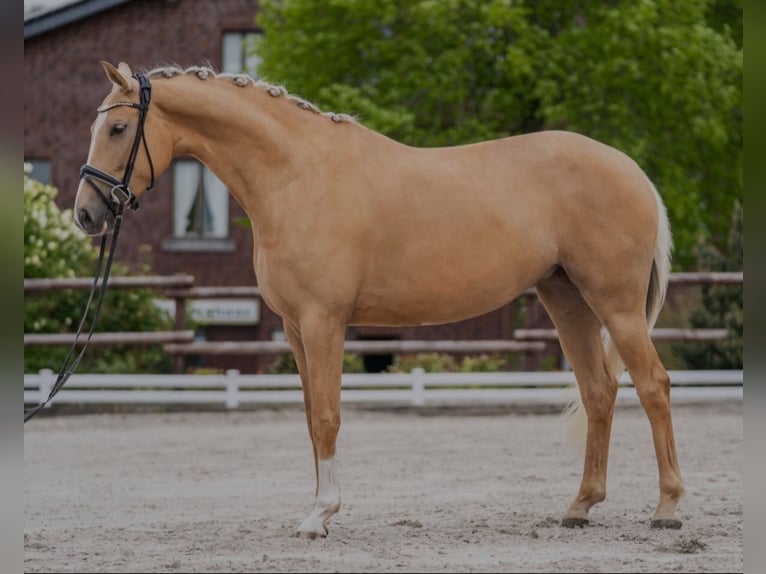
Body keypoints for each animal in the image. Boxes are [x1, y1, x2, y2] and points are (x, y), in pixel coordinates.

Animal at [73, 63, 684, 540]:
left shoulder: (324, 322)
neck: (297, 176)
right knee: (599, 391)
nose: (85, 214)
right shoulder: (294, 328)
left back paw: (667, 509)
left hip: (616, 304)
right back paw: (580, 506)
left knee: (653, 386)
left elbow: (327, 416)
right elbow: (308, 417)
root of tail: (632, 170)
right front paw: (316, 508)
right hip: (567, 299)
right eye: (96, 125)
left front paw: (320, 516)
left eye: (120, 127)